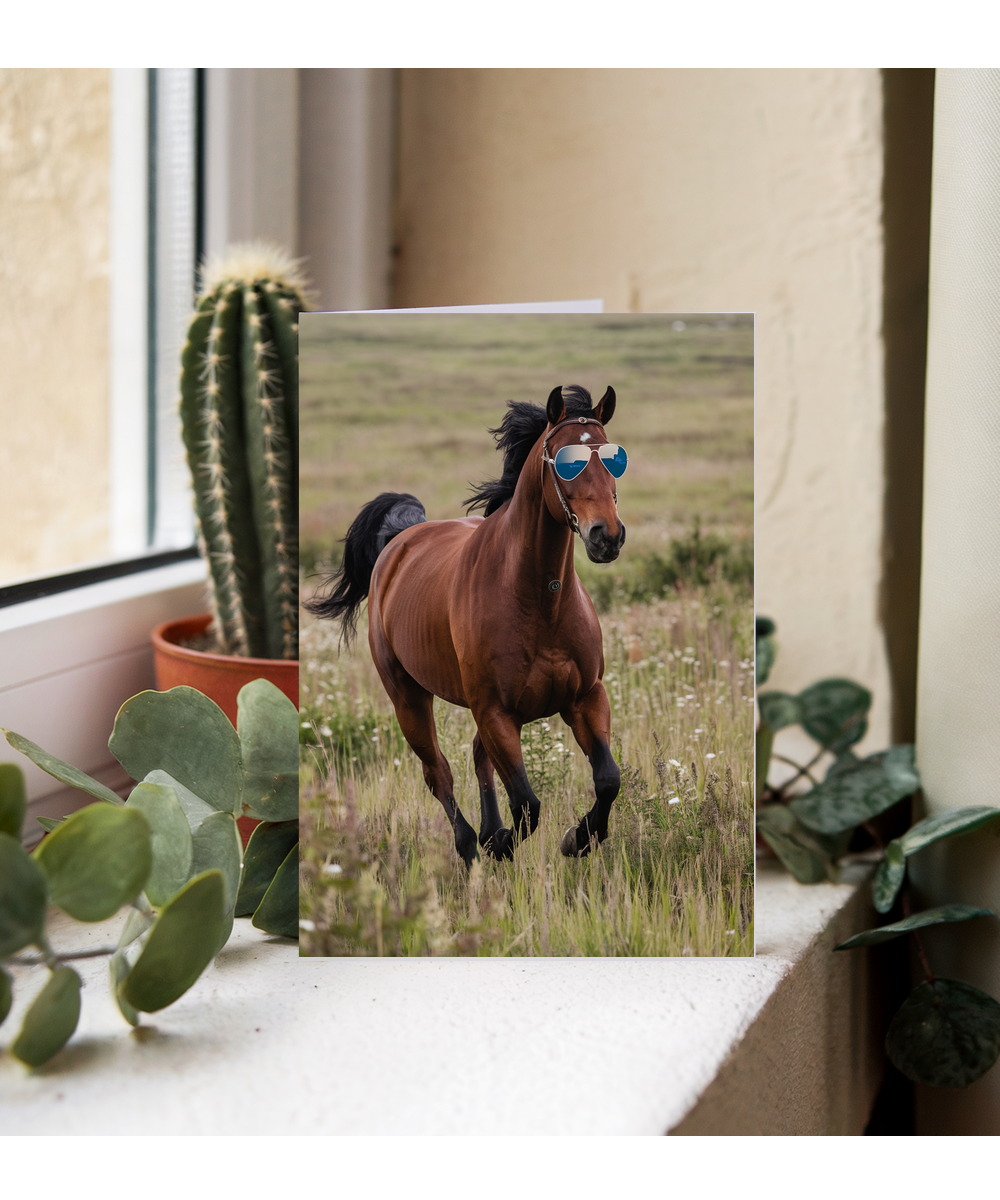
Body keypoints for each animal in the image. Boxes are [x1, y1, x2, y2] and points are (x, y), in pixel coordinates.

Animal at [306, 384, 627, 867]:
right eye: (567, 460)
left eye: (614, 457)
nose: (607, 536)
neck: (540, 602)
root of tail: (399, 541)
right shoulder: (495, 711)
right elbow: (528, 804)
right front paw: (502, 842)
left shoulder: (585, 697)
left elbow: (608, 779)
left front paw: (578, 838)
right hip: (408, 698)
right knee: (438, 773)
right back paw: (470, 843)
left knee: (478, 758)